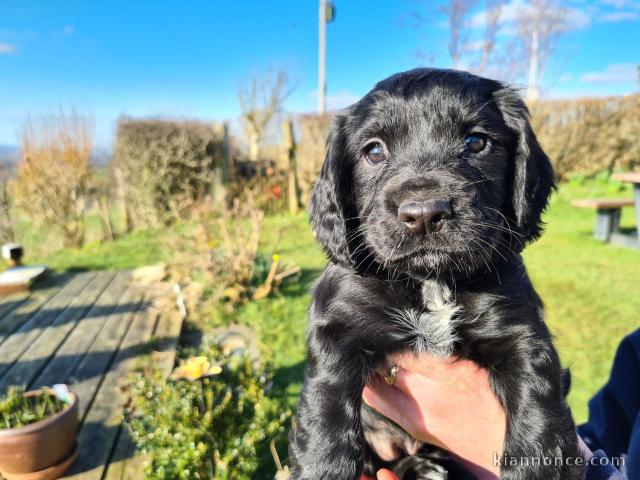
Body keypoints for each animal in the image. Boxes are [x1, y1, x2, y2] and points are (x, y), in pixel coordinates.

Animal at [290, 68, 584, 480]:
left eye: (476, 141)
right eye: (374, 151)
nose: (425, 213)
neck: (431, 280)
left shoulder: (521, 332)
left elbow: (540, 419)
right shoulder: (338, 328)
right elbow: (325, 419)